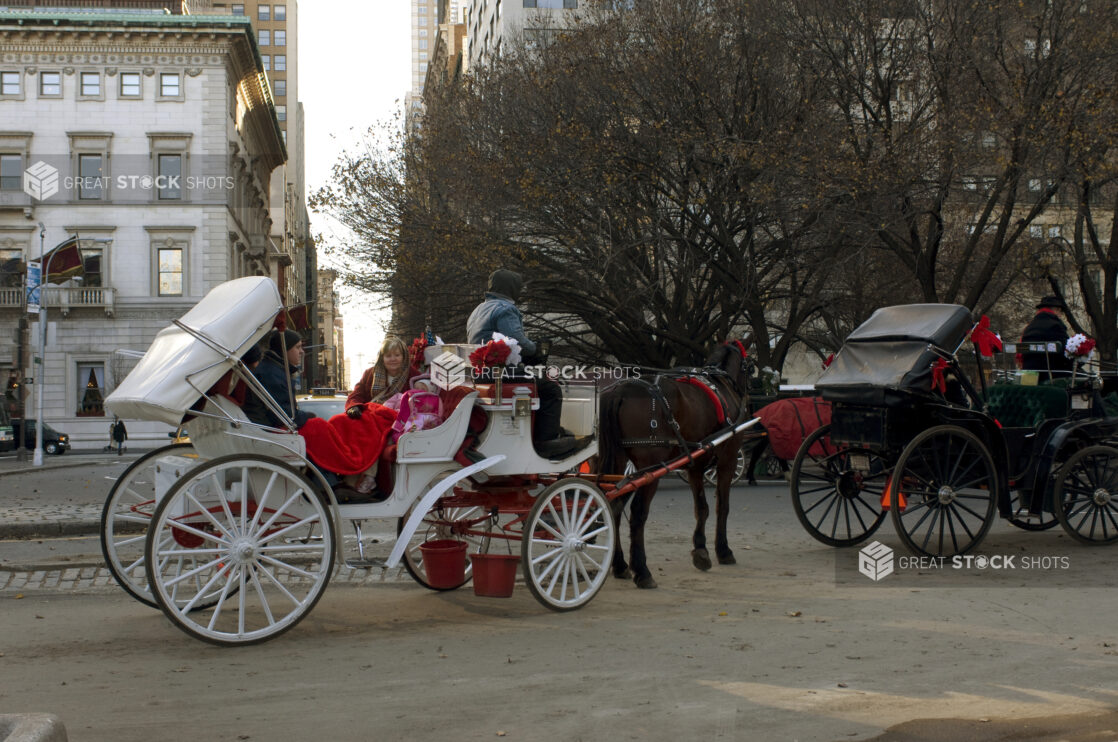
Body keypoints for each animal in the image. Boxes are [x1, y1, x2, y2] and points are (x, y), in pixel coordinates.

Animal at [599, 341, 755, 590]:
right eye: (750, 367)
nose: (749, 397)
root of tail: (620, 392)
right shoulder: (728, 460)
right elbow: (722, 506)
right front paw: (723, 550)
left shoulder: (696, 466)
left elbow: (702, 508)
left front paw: (701, 550)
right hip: (650, 469)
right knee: (637, 513)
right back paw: (642, 570)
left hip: (623, 466)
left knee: (613, 506)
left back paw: (621, 565)